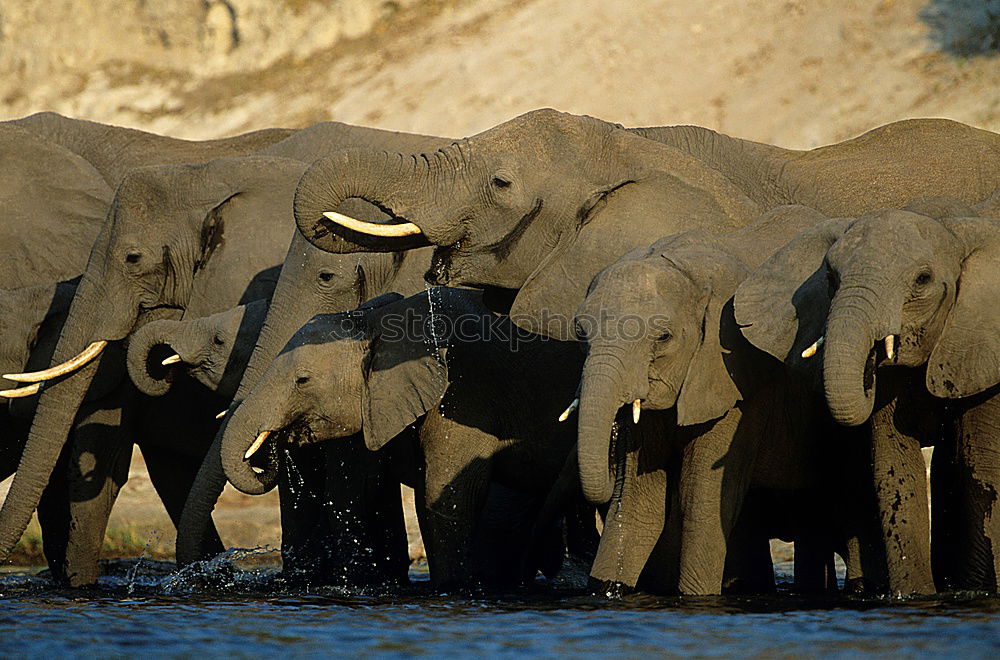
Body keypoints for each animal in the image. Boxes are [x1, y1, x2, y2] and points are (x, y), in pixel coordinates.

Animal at [215, 288, 584, 588]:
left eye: (302, 380)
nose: (276, 442)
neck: (376, 320)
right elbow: (416, 496)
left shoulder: (465, 396)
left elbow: (447, 495)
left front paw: (452, 588)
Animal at [736, 204, 1000, 596]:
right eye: (830, 276)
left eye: (922, 279)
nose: (869, 367)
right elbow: (894, 467)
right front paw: (913, 596)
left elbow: (982, 466)